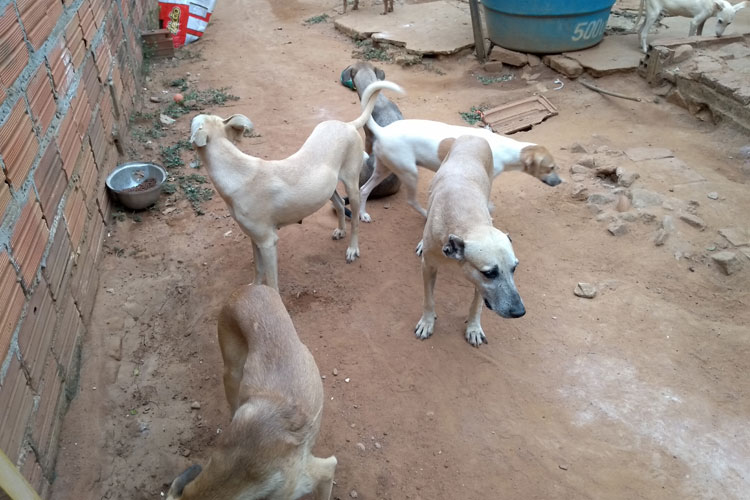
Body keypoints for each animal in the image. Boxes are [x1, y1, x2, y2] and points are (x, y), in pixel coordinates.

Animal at [191, 80, 406, 292]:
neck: (236, 171)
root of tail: (347, 124)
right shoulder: (254, 238)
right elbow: (258, 270)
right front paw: (255, 289)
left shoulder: (268, 242)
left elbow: (272, 282)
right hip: (327, 189)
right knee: (338, 204)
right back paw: (340, 230)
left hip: (352, 185)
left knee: (355, 219)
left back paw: (353, 249)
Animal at [358, 116, 564, 222]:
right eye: (551, 168)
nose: (560, 182)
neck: (506, 148)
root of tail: (383, 130)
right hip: (409, 173)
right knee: (411, 201)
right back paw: (425, 214)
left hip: (384, 169)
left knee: (364, 190)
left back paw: (362, 214)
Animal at [418, 137, 528, 348]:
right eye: (490, 273)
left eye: (514, 268)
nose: (520, 312)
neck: (467, 218)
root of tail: (472, 136)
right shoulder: (428, 267)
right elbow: (428, 299)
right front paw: (427, 321)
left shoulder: (479, 283)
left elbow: (477, 304)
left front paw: (474, 328)